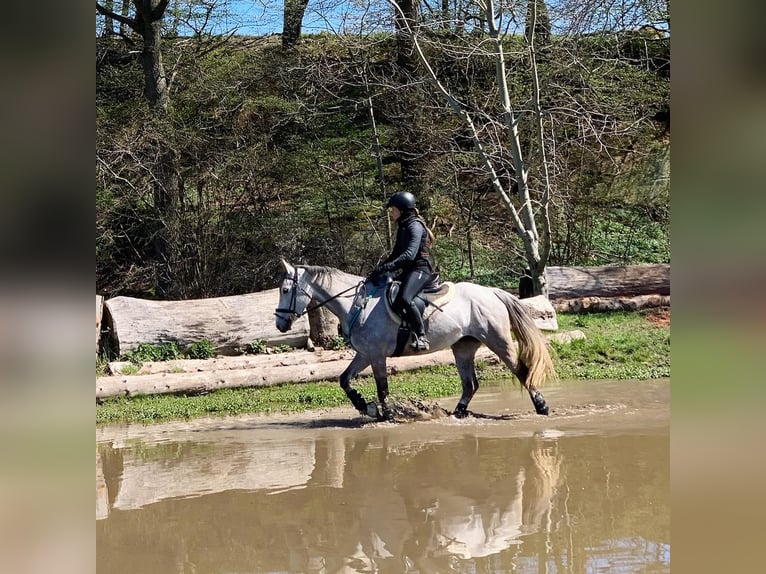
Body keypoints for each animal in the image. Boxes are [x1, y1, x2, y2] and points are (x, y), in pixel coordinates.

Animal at [276, 260, 560, 424]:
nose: (280, 324)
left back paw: (542, 407)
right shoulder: (365, 354)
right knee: (470, 384)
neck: (358, 304)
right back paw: (457, 413)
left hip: (498, 340)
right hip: (463, 346)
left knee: (521, 371)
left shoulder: (376, 355)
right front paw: (365, 407)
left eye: (286, 290)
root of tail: (491, 292)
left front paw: (387, 415)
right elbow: (344, 379)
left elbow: (382, 388)